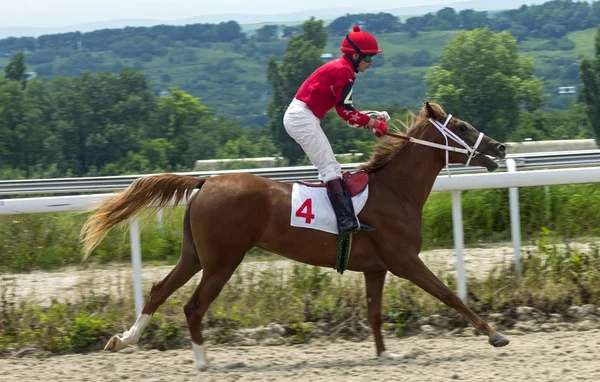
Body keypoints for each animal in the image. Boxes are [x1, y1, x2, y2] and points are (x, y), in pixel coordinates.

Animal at [79, 100, 508, 368]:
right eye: (462, 126)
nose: (500, 147)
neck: (394, 190)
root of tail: (205, 180)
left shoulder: (376, 268)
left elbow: (374, 313)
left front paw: (386, 355)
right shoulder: (405, 261)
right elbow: (451, 295)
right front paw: (494, 334)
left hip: (195, 255)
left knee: (158, 291)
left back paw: (125, 339)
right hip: (223, 260)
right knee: (193, 306)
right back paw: (203, 361)